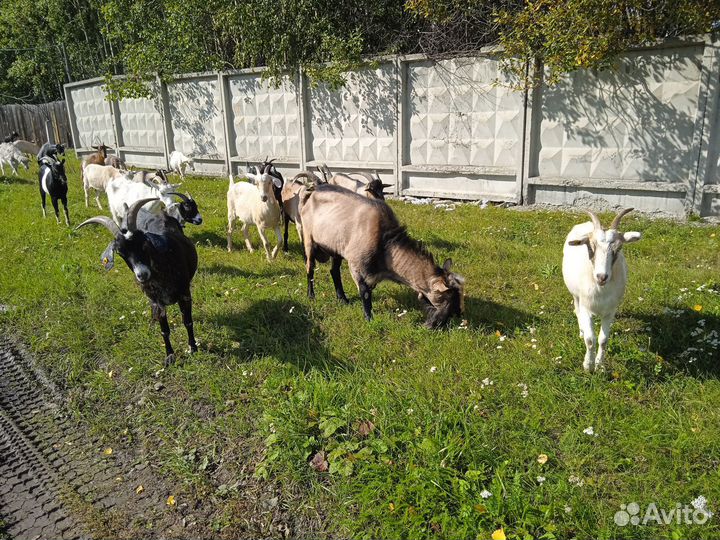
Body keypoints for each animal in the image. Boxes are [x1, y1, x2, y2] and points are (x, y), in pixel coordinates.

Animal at [75, 198, 198, 366]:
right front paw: (169, 356)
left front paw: (193, 348)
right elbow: (164, 330)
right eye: (120, 253)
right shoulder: (157, 301)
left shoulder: (184, 293)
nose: (142, 274)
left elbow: (188, 322)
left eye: (144, 244)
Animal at [301, 183, 465, 327]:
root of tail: (312, 191)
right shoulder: (357, 266)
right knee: (310, 268)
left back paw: (342, 299)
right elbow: (365, 294)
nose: (439, 325)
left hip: (335, 248)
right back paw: (311, 295)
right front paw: (369, 319)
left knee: (334, 271)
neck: (385, 243)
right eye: (447, 298)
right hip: (308, 238)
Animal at [562, 208, 642, 372]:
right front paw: (588, 366)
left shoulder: (610, 312)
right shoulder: (586, 308)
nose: (601, 276)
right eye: (590, 247)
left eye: (618, 248)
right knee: (577, 310)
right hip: (576, 295)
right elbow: (590, 339)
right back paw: (581, 331)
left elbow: (603, 340)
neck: (600, 290)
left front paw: (600, 366)